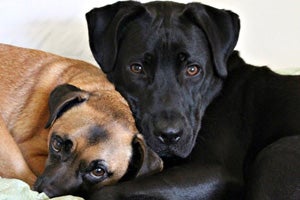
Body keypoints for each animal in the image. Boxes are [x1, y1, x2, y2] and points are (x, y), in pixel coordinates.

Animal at [85, 0, 300, 199]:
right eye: (137, 68)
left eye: (193, 69)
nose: (169, 135)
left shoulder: (215, 171)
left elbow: (107, 190)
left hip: (277, 151)